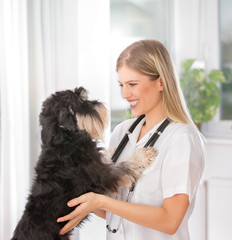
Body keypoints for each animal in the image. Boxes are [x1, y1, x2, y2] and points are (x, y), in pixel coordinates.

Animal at [11, 87, 156, 239]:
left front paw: (110, 153)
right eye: (82, 102)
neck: (64, 140)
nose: (99, 103)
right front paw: (143, 155)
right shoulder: (104, 176)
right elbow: (124, 166)